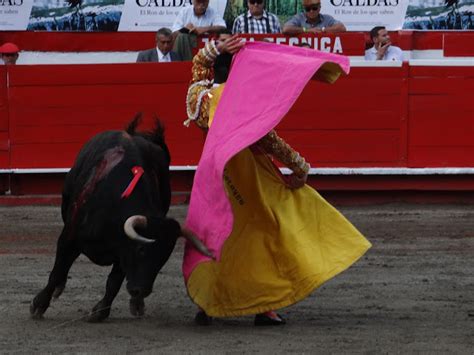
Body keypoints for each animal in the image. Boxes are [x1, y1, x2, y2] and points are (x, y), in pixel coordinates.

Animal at [30, 118, 212, 324]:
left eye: (164, 257)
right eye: (141, 249)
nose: (141, 290)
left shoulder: (122, 250)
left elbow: (114, 282)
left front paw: (100, 311)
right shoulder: (69, 237)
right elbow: (57, 270)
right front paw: (38, 305)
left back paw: (137, 304)